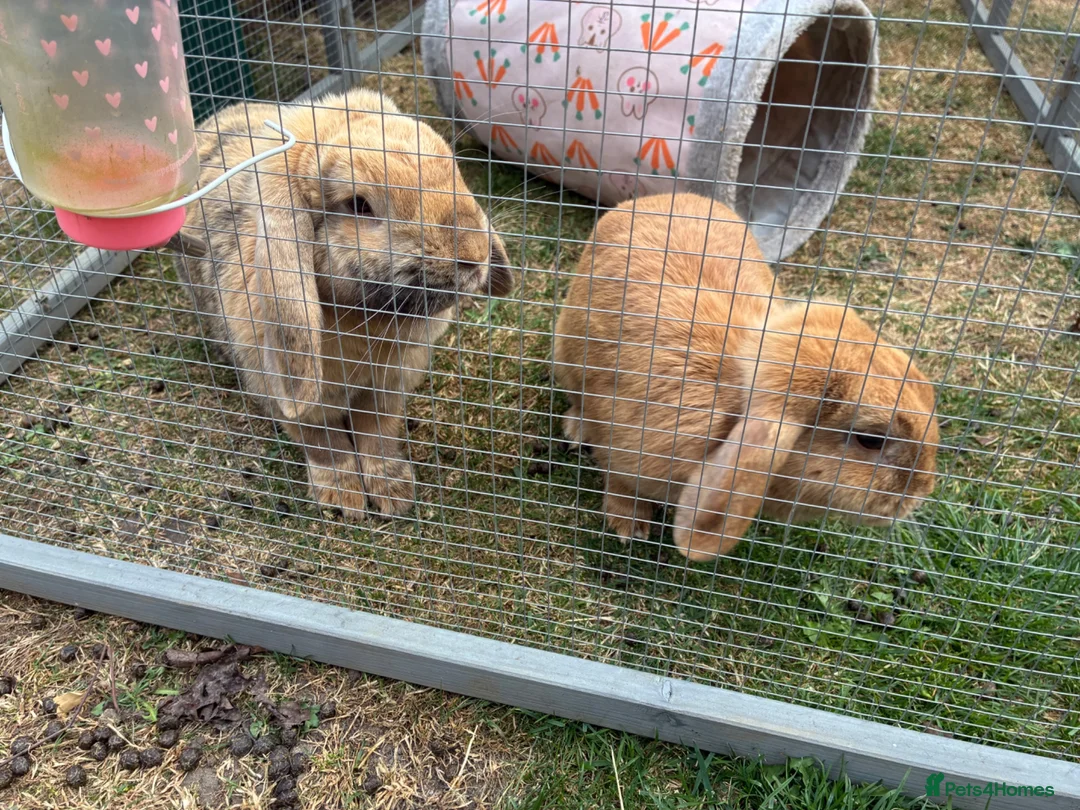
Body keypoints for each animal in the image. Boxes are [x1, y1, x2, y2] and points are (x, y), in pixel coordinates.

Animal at [168, 87, 513, 519]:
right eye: (359, 204)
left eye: (452, 170)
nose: (474, 255)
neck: (361, 318)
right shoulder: (288, 397)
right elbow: (323, 444)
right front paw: (344, 499)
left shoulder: (388, 388)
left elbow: (378, 436)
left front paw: (394, 493)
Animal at [553, 193, 939, 561]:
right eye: (870, 440)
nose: (922, 492)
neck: (729, 406)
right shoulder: (619, 444)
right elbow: (619, 483)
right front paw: (629, 527)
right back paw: (576, 430)